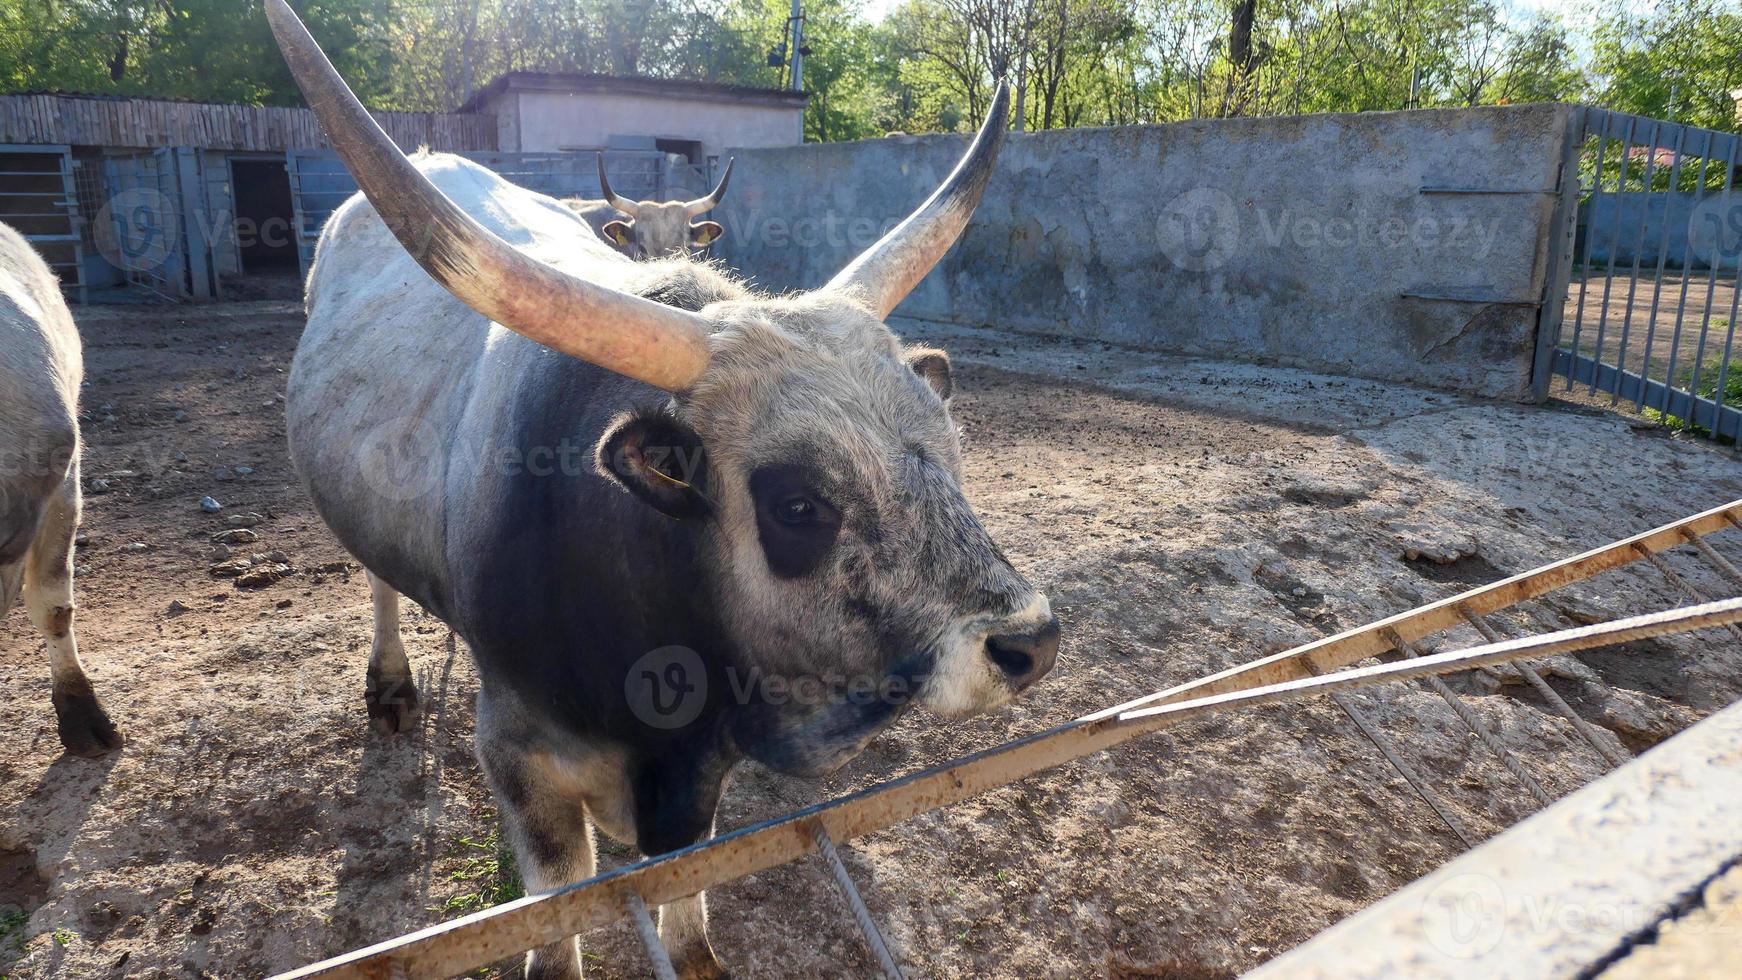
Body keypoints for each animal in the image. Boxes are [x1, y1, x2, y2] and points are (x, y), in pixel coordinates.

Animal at [264, 3, 1052, 974]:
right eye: (798, 505)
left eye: (951, 449)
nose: (1030, 641)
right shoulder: (520, 761)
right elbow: (554, 916)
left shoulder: (699, 774)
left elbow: (685, 887)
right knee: (377, 579)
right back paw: (391, 687)